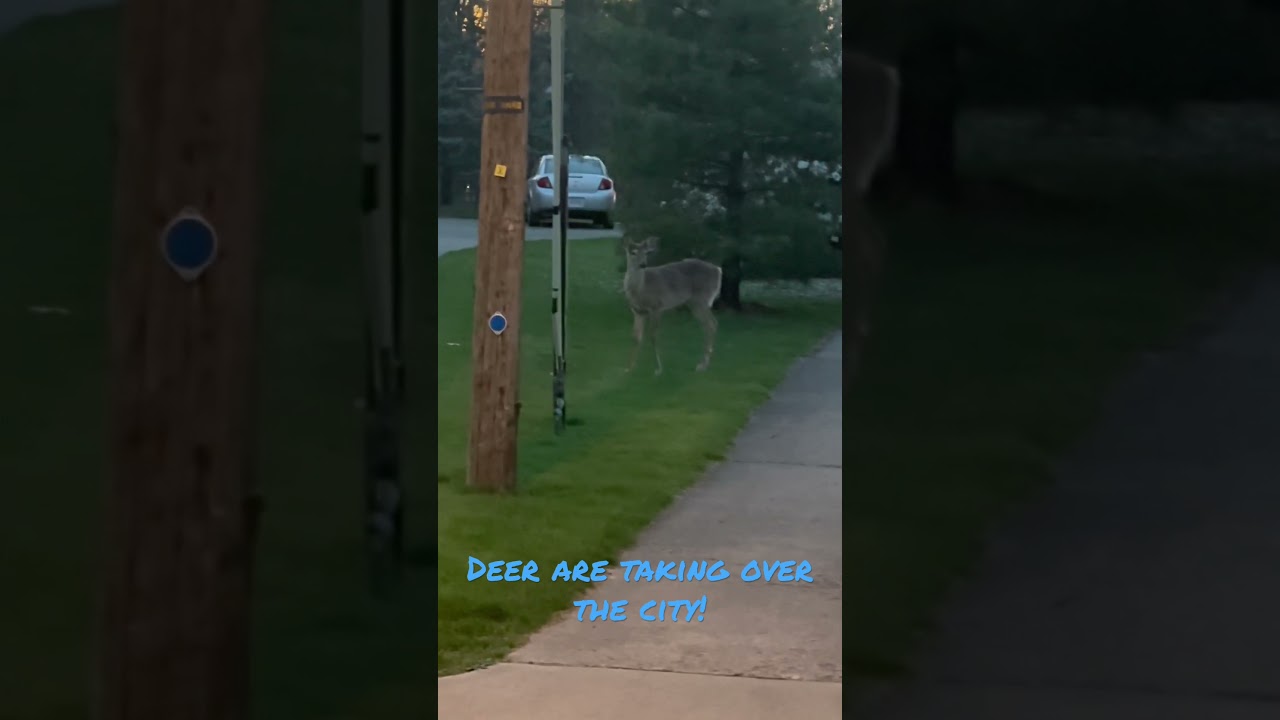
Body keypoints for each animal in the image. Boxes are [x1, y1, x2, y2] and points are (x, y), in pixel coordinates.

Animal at [622, 236, 722, 375]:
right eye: (633, 252)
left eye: (646, 253)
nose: (643, 264)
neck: (641, 288)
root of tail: (718, 270)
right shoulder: (638, 311)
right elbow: (636, 337)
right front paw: (629, 368)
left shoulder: (657, 307)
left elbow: (653, 335)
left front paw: (658, 368)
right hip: (693, 302)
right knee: (708, 324)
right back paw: (704, 363)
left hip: (701, 300)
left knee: (711, 324)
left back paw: (702, 365)